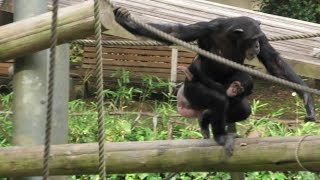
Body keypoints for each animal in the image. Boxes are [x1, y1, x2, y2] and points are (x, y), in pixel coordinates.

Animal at [114, 7, 316, 155]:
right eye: (252, 40)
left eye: (258, 39)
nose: (257, 46)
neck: (232, 38)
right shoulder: (207, 28)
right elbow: (177, 32)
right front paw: (125, 20)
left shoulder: (263, 35)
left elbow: (274, 62)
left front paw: (307, 99)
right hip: (192, 91)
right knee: (218, 100)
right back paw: (219, 136)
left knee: (240, 108)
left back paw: (207, 119)